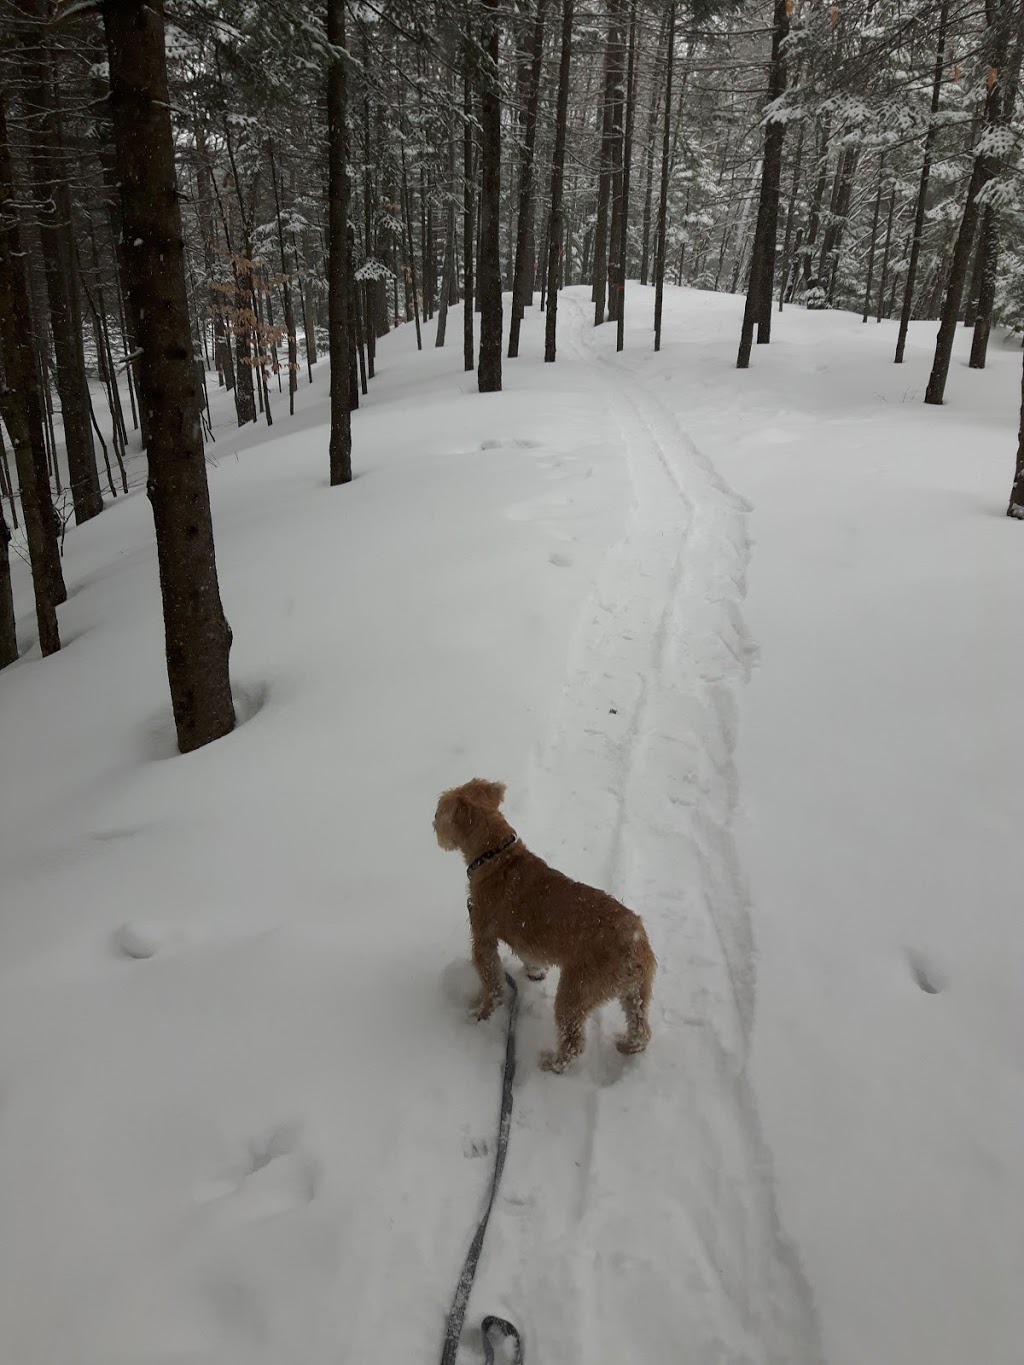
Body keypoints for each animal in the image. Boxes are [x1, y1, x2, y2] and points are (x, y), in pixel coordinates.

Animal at [434, 780, 658, 1064]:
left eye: (440, 810)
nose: (432, 820)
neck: (495, 856)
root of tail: (634, 942)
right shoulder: (525, 942)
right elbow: (530, 959)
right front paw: (535, 973)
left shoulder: (483, 939)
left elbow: (492, 984)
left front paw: (481, 1014)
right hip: (635, 994)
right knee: (641, 1030)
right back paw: (628, 1046)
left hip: (575, 993)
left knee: (573, 1042)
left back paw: (553, 1063)